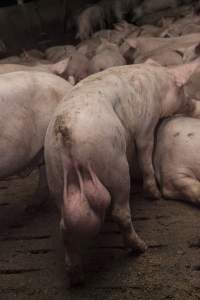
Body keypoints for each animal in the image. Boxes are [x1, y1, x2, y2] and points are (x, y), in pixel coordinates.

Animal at [43, 61, 198, 286]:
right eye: (183, 90)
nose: (195, 104)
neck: (157, 84)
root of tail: (66, 130)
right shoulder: (146, 123)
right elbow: (145, 154)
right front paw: (154, 195)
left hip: (55, 173)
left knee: (64, 227)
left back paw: (76, 277)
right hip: (115, 163)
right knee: (120, 212)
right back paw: (141, 248)